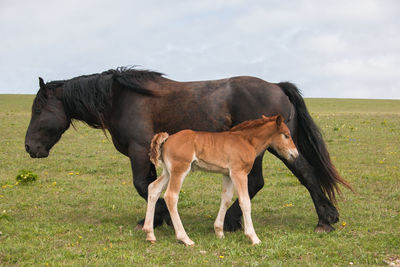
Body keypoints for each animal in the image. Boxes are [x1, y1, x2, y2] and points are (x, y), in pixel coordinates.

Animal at [142, 115, 298, 247]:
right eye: (286, 135)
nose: (295, 154)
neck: (246, 141)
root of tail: (167, 139)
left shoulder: (227, 174)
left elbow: (226, 199)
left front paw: (219, 232)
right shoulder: (239, 173)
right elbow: (245, 201)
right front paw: (253, 237)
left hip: (168, 172)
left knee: (153, 188)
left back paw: (150, 234)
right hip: (179, 170)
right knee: (171, 196)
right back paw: (185, 238)